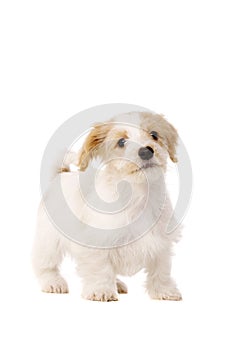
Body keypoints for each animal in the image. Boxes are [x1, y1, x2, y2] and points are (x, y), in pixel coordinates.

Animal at [32, 111, 182, 300]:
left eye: (154, 134)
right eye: (121, 142)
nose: (146, 151)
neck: (138, 194)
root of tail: (62, 174)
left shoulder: (161, 243)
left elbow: (160, 270)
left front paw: (164, 290)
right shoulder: (96, 243)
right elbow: (100, 268)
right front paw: (101, 290)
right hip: (48, 240)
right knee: (44, 264)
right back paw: (53, 282)